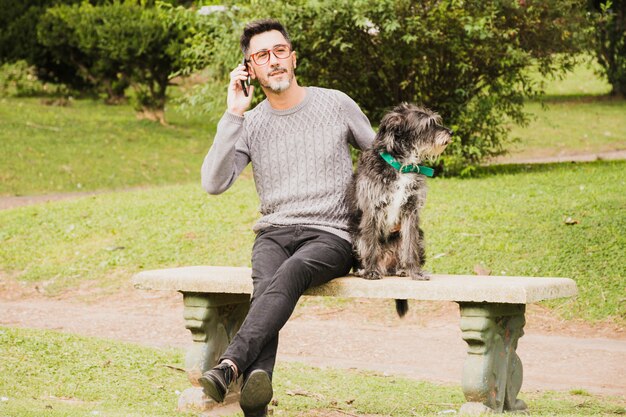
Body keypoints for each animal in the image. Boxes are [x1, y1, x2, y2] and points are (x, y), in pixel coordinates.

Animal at [346, 103, 454, 316]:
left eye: (436, 121)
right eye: (428, 124)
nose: (450, 132)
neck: (402, 166)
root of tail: (386, 265)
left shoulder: (411, 212)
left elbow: (409, 246)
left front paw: (415, 272)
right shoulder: (372, 210)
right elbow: (371, 244)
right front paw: (371, 271)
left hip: (420, 236)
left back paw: (403, 269)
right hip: (356, 236)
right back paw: (366, 269)